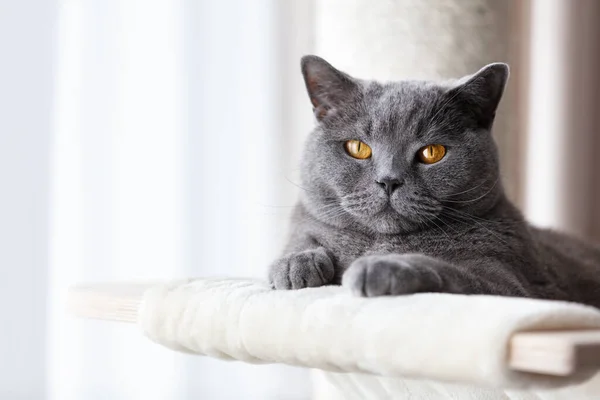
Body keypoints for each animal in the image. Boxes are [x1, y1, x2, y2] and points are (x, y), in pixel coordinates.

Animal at [268, 54, 600, 308]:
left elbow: (453, 272)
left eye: (432, 152)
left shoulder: (513, 287)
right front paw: (296, 264)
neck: (380, 242)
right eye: (358, 148)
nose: (389, 181)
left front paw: (380, 267)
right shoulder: (307, 222)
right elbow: (303, 236)